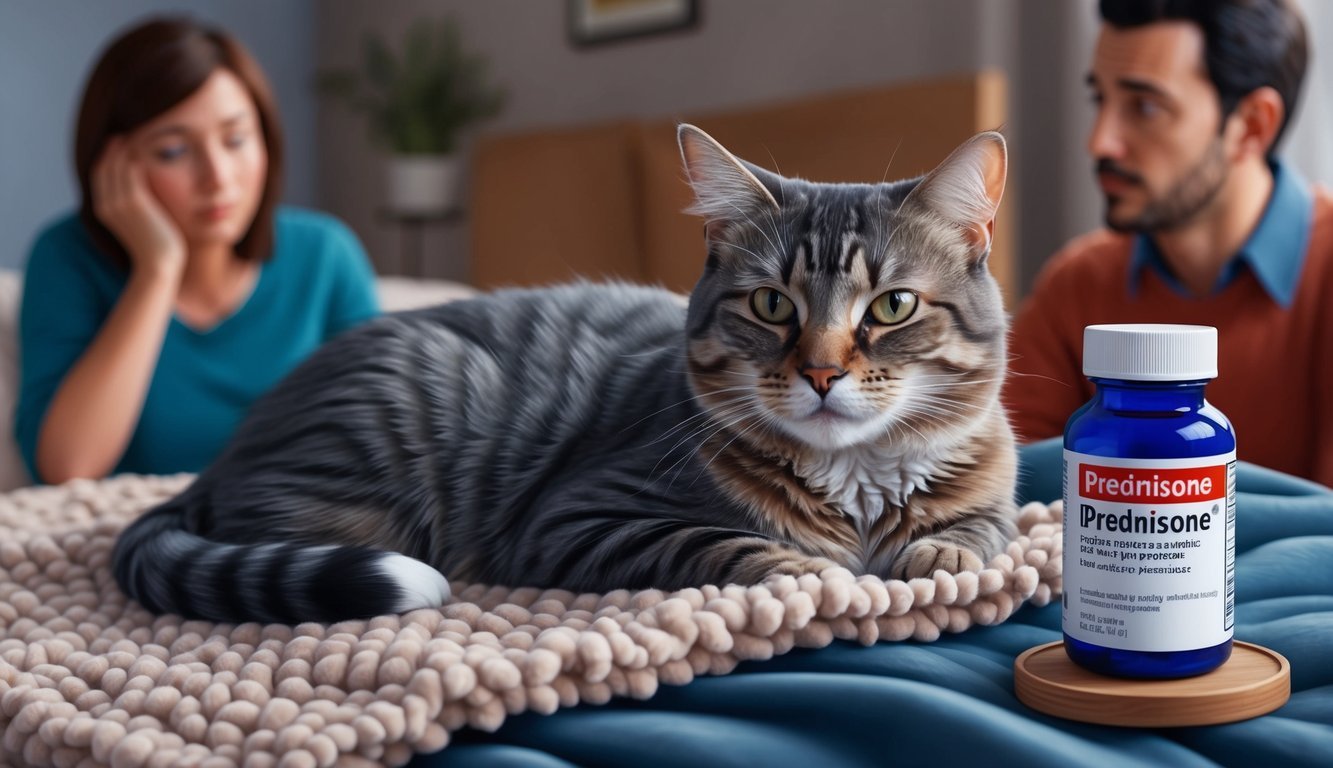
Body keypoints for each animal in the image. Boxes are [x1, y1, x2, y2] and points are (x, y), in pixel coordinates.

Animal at [111, 126, 1018, 624]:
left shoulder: (993, 496)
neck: (855, 482)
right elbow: (729, 544)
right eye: (770, 304)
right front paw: (821, 577)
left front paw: (937, 557)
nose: (823, 373)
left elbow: (979, 532)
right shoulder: (579, 517)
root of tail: (226, 458)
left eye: (892, 306)